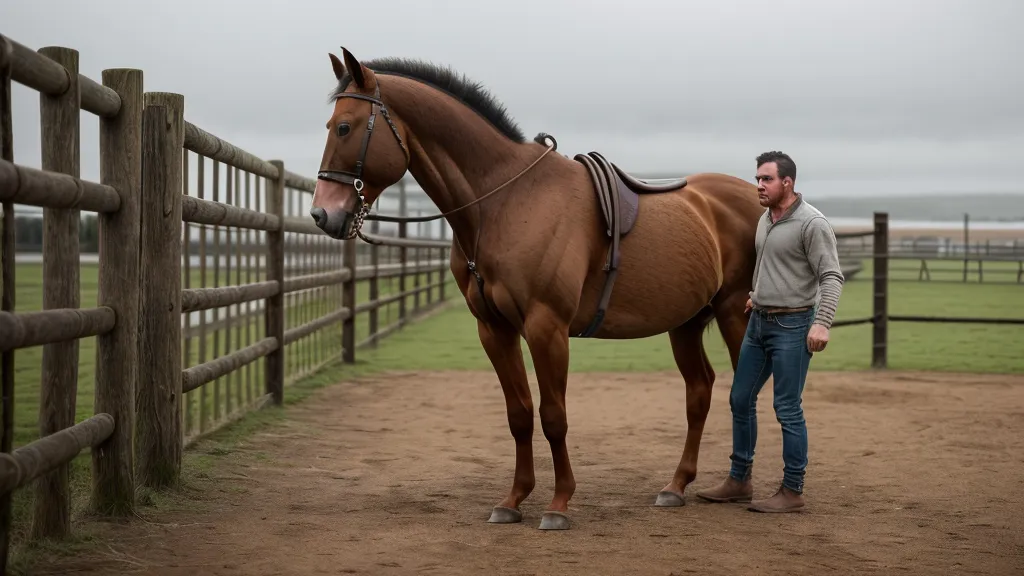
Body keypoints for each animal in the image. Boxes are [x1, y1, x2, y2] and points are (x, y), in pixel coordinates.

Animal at [310, 47, 765, 531]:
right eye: (330, 125)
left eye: (344, 127)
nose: (322, 215)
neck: (503, 201)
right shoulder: (495, 330)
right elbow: (520, 414)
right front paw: (513, 499)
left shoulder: (547, 328)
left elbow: (553, 416)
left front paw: (559, 503)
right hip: (686, 323)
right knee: (699, 391)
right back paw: (676, 486)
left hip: (735, 314)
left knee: (744, 394)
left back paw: (740, 487)